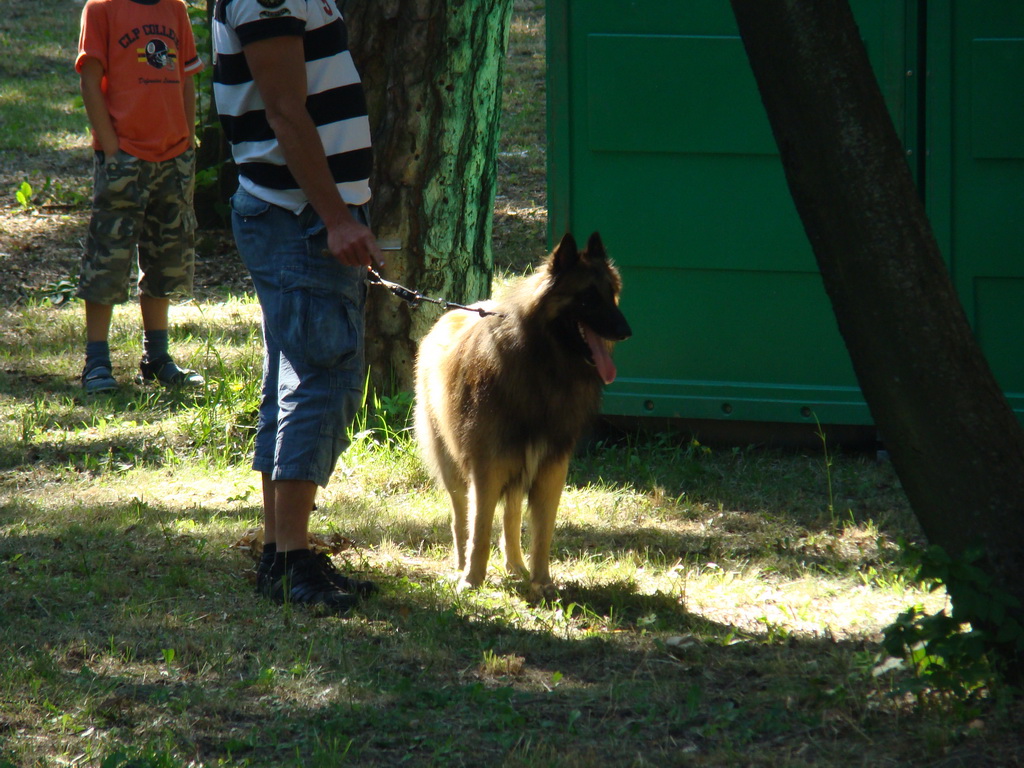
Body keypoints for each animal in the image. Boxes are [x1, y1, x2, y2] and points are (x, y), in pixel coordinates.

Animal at [411, 231, 626, 598]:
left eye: (611, 294)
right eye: (587, 298)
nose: (626, 331)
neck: (542, 365)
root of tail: (446, 316)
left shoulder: (549, 469)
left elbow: (541, 534)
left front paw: (543, 582)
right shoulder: (486, 468)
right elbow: (479, 530)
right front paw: (472, 580)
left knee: (510, 518)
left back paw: (515, 566)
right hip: (454, 467)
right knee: (460, 519)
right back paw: (461, 566)